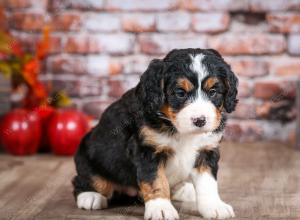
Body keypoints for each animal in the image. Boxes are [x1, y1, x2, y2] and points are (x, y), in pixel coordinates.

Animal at [72, 48, 237, 220]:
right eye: (180, 93)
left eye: (213, 92)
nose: (200, 120)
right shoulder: (147, 150)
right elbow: (156, 181)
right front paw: (161, 208)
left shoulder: (206, 150)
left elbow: (208, 183)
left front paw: (214, 206)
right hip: (88, 157)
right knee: (85, 181)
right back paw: (90, 196)